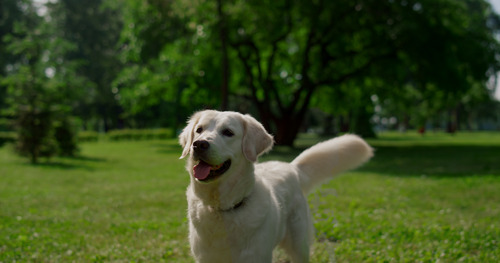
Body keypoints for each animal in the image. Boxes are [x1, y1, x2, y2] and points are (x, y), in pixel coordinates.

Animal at [178, 110, 374, 262]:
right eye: (199, 130)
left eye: (228, 132)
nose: (199, 144)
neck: (222, 209)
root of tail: (292, 167)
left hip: (299, 245)